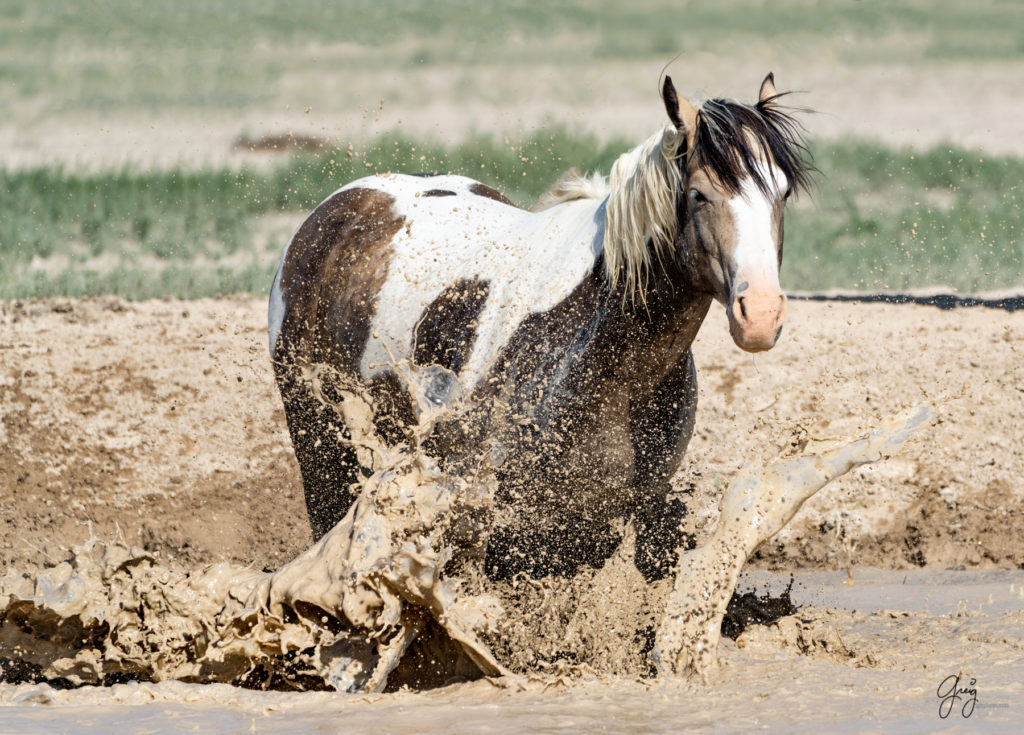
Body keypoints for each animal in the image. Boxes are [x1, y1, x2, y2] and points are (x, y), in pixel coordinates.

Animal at [268, 74, 811, 581]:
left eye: (782, 193)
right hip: (320, 444)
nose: (761, 315)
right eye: (699, 194)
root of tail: (337, 209)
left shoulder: (613, 518)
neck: (607, 352)